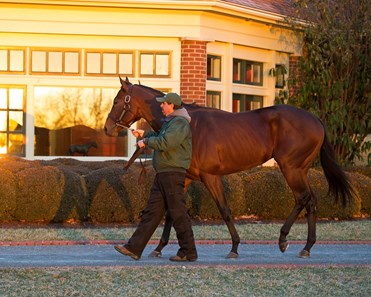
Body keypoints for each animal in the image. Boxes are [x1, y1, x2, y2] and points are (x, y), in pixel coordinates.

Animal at [103, 77, 354, 258]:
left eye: (117, 101)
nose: (107, 128)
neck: (189, 124)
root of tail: (317, 120)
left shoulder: (211, 177)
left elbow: (224, 209)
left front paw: (234, 247)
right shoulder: (185, 177)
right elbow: (171, 213)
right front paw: (158, 248)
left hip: (291, 168)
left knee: (302, 198)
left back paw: (284, 240)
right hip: (300, 170)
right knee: (311, 201)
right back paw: (307, 247)